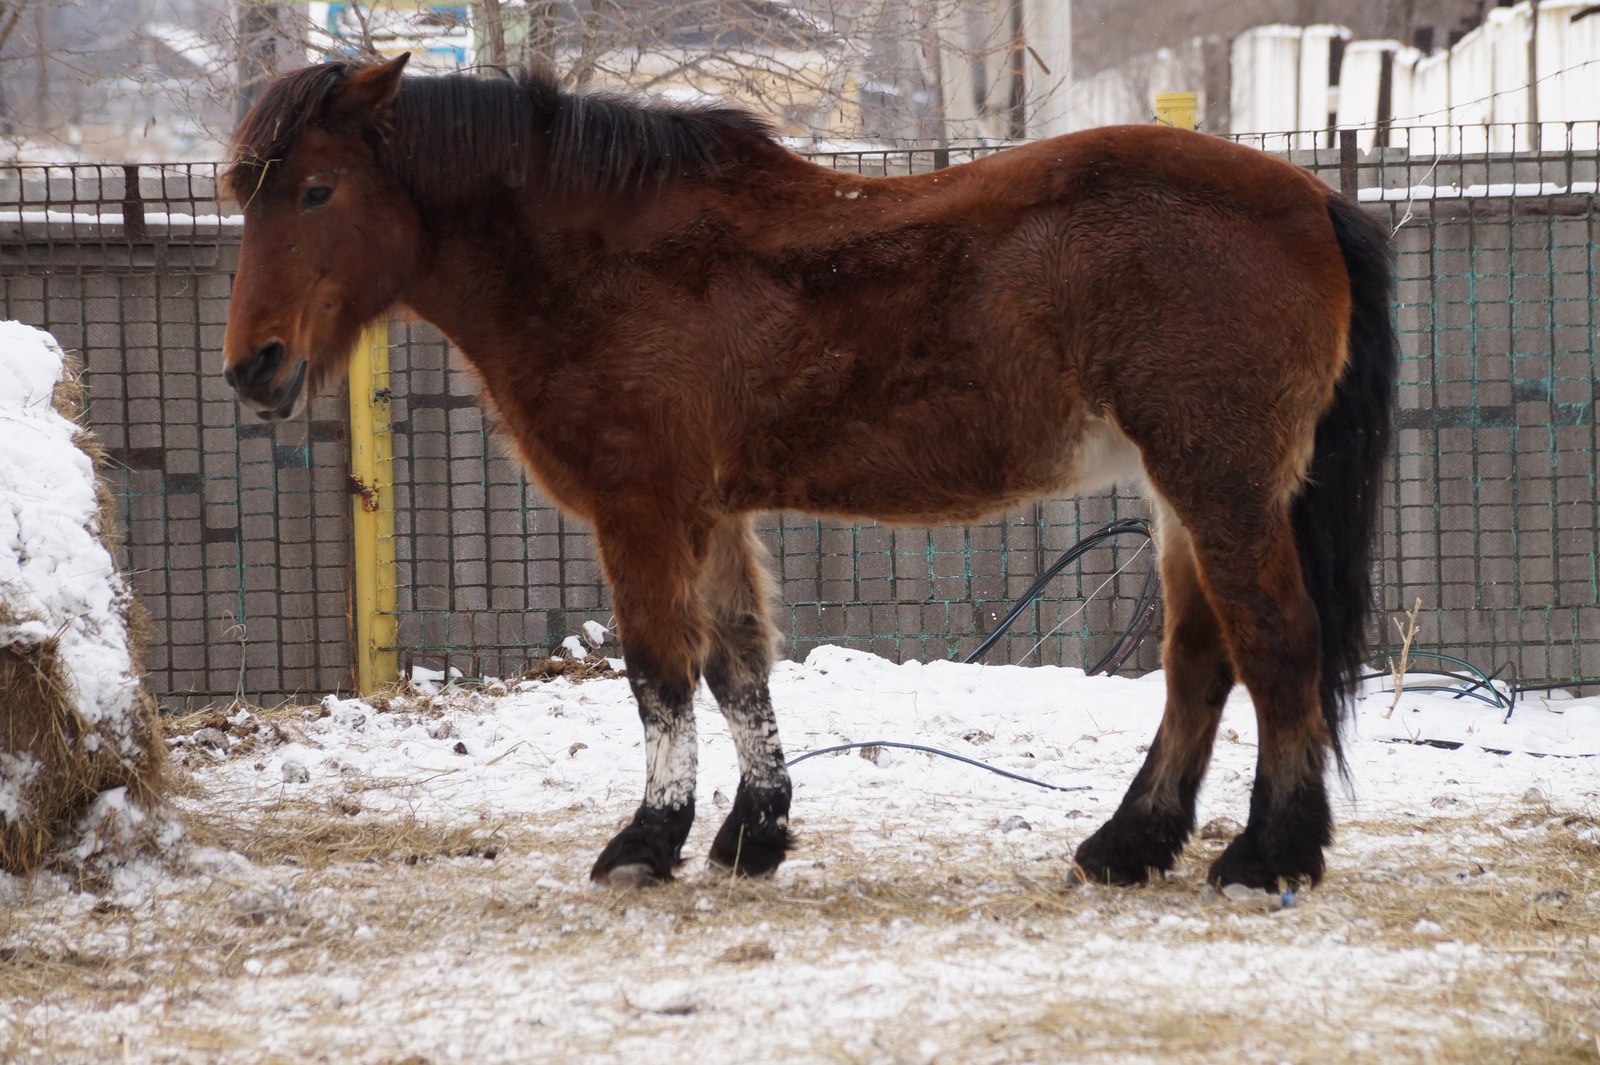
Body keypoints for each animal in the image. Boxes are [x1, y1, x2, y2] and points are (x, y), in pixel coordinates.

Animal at [219, 55, 1395, 889]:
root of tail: (1310, 199)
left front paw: (648, 842)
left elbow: (659, 672)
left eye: (317, 189)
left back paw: (1268, 855)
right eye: (245, 193)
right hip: (1181, 491)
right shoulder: (713, 514)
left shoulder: (641, 510)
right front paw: (753, 834)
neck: (608, 260)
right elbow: (739, 666)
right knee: (1199, 659)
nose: (252, 367)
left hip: (1219, 479)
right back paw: (1129, 845)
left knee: (1276, 644)